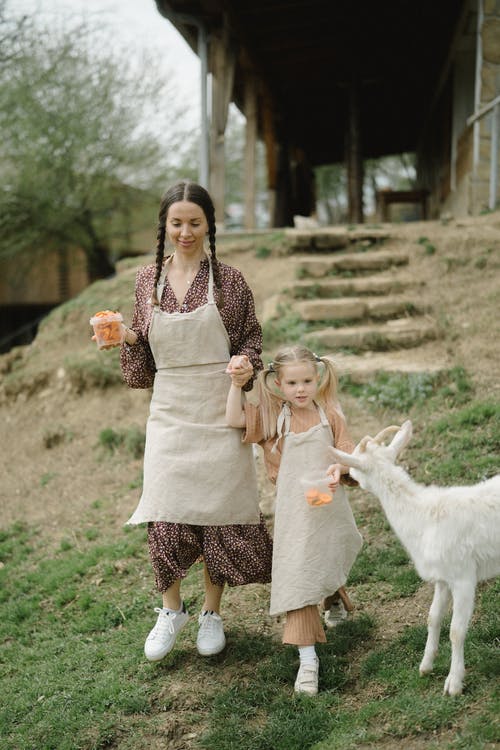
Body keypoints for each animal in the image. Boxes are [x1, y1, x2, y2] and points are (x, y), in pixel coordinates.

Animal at [332, 424, 500, 700]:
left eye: (355, 461)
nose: (347, 477)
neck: (423, 516)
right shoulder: (443, 579)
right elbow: (433, 618)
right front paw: (426, 665)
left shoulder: (463, 577)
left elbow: (456, 631)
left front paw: (454, 683)